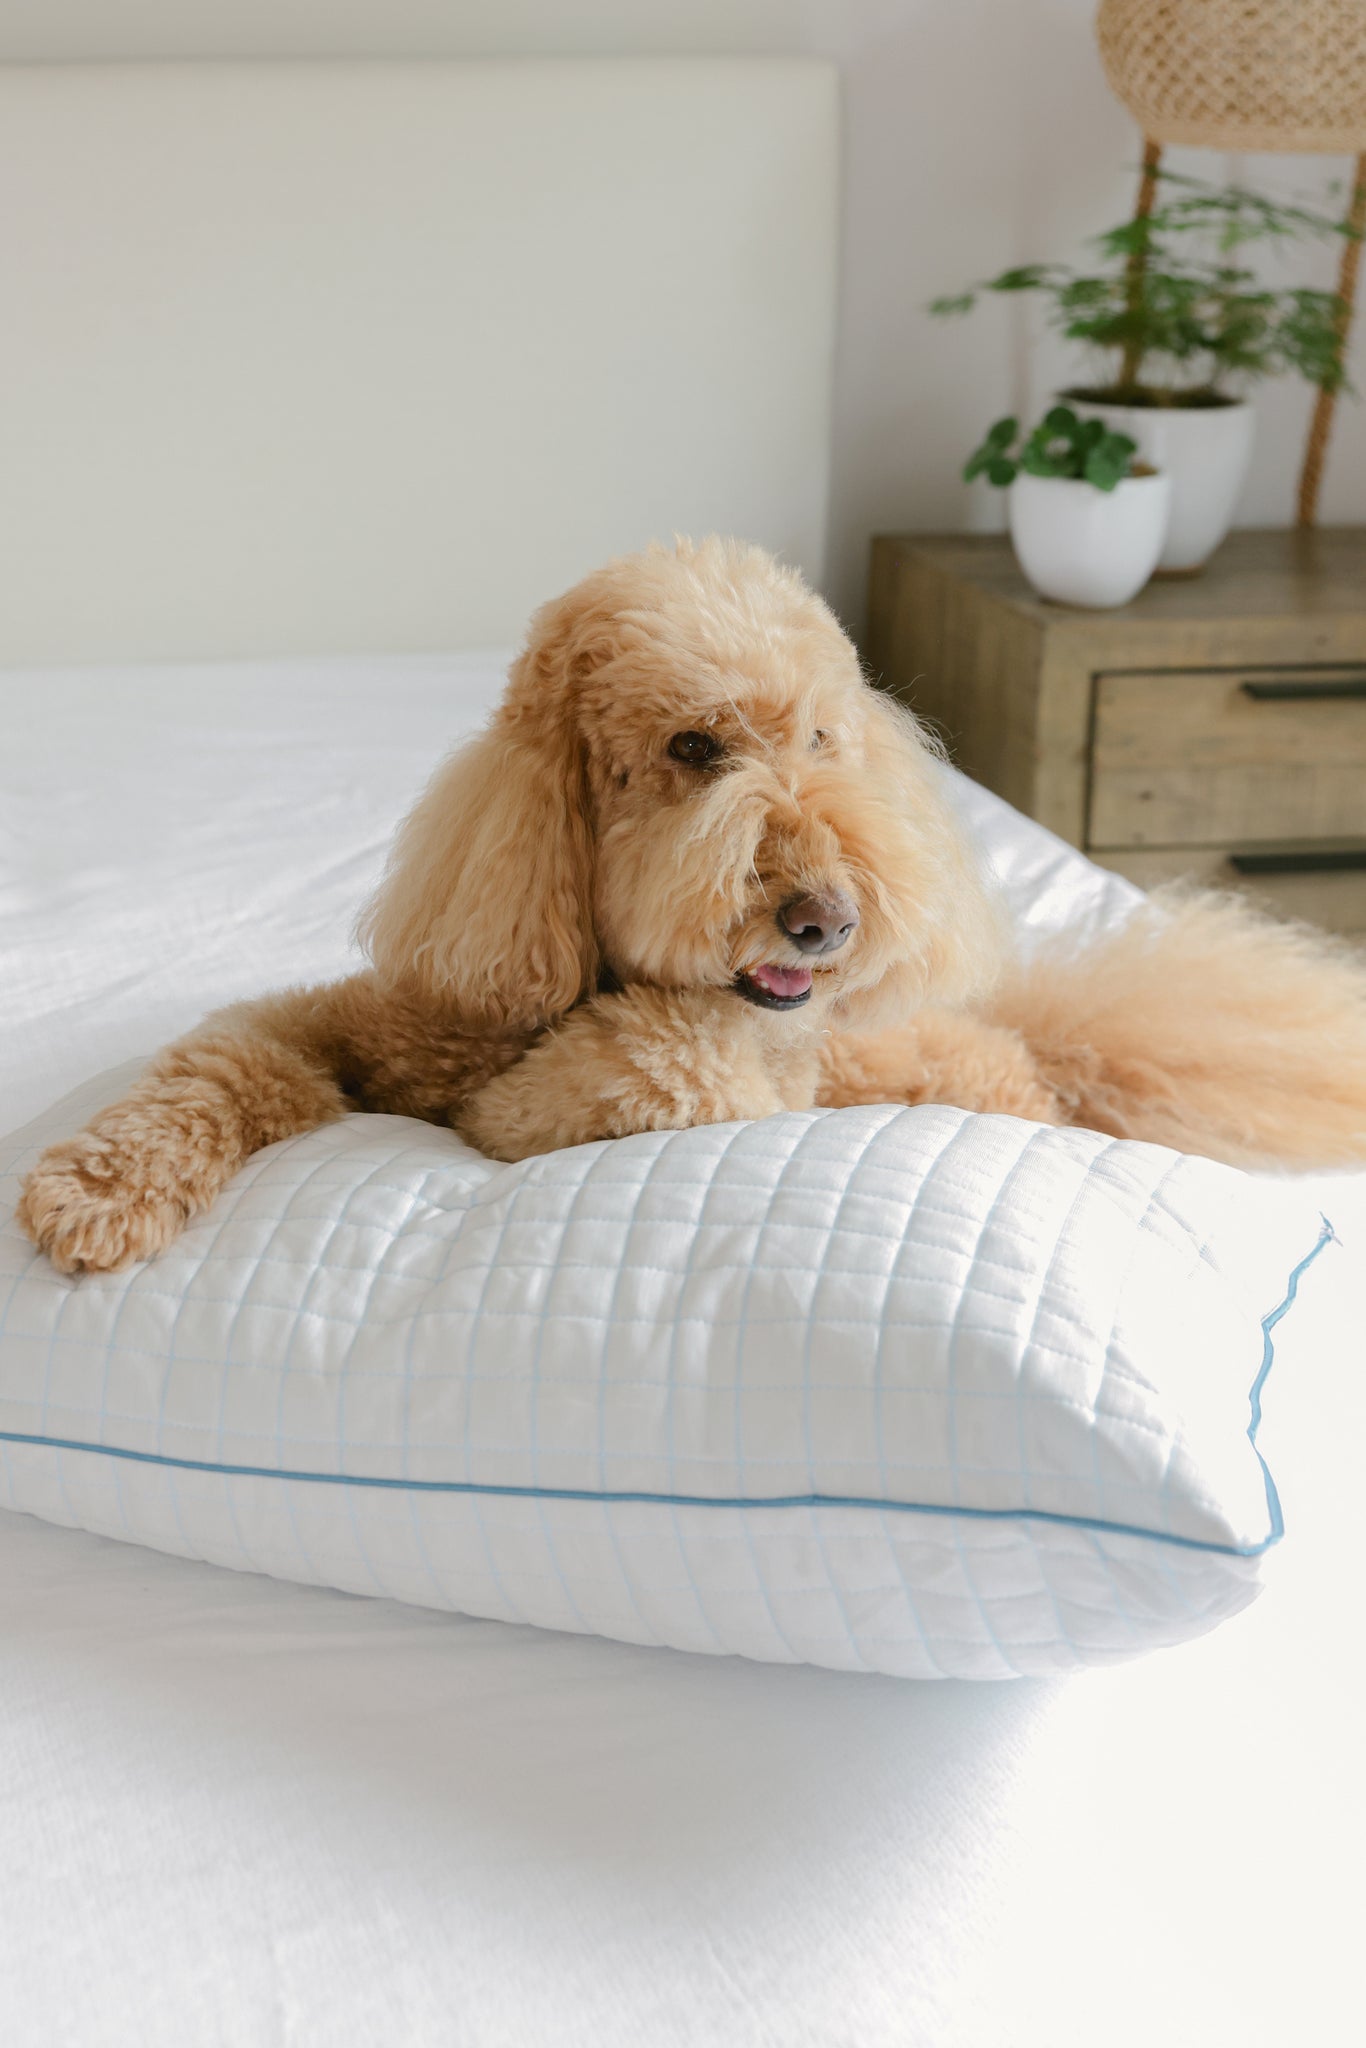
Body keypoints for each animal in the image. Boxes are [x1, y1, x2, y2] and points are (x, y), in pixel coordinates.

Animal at [15, 544, 1366, 1277]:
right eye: (693, 747)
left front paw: (507, 1107)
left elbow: (611, 1076)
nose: (826, 919)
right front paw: (95, 1190)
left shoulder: (733, 1076)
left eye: (823, 740)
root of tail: (1043, 1046)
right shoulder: (357, 1016)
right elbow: (222, 1061)